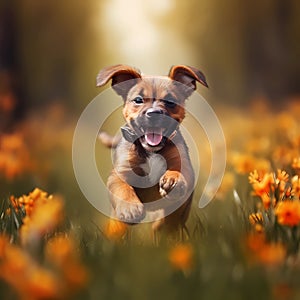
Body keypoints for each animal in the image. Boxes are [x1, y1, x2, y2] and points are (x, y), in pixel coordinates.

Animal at [97, 64, 207, 236]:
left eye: (170, 101)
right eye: (138, 100)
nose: (154, 113)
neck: (151, 151)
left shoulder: (184, 164)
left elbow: (180, 172)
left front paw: (173, 179)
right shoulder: (119, 173)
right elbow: (122, 187)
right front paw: (130, 208)